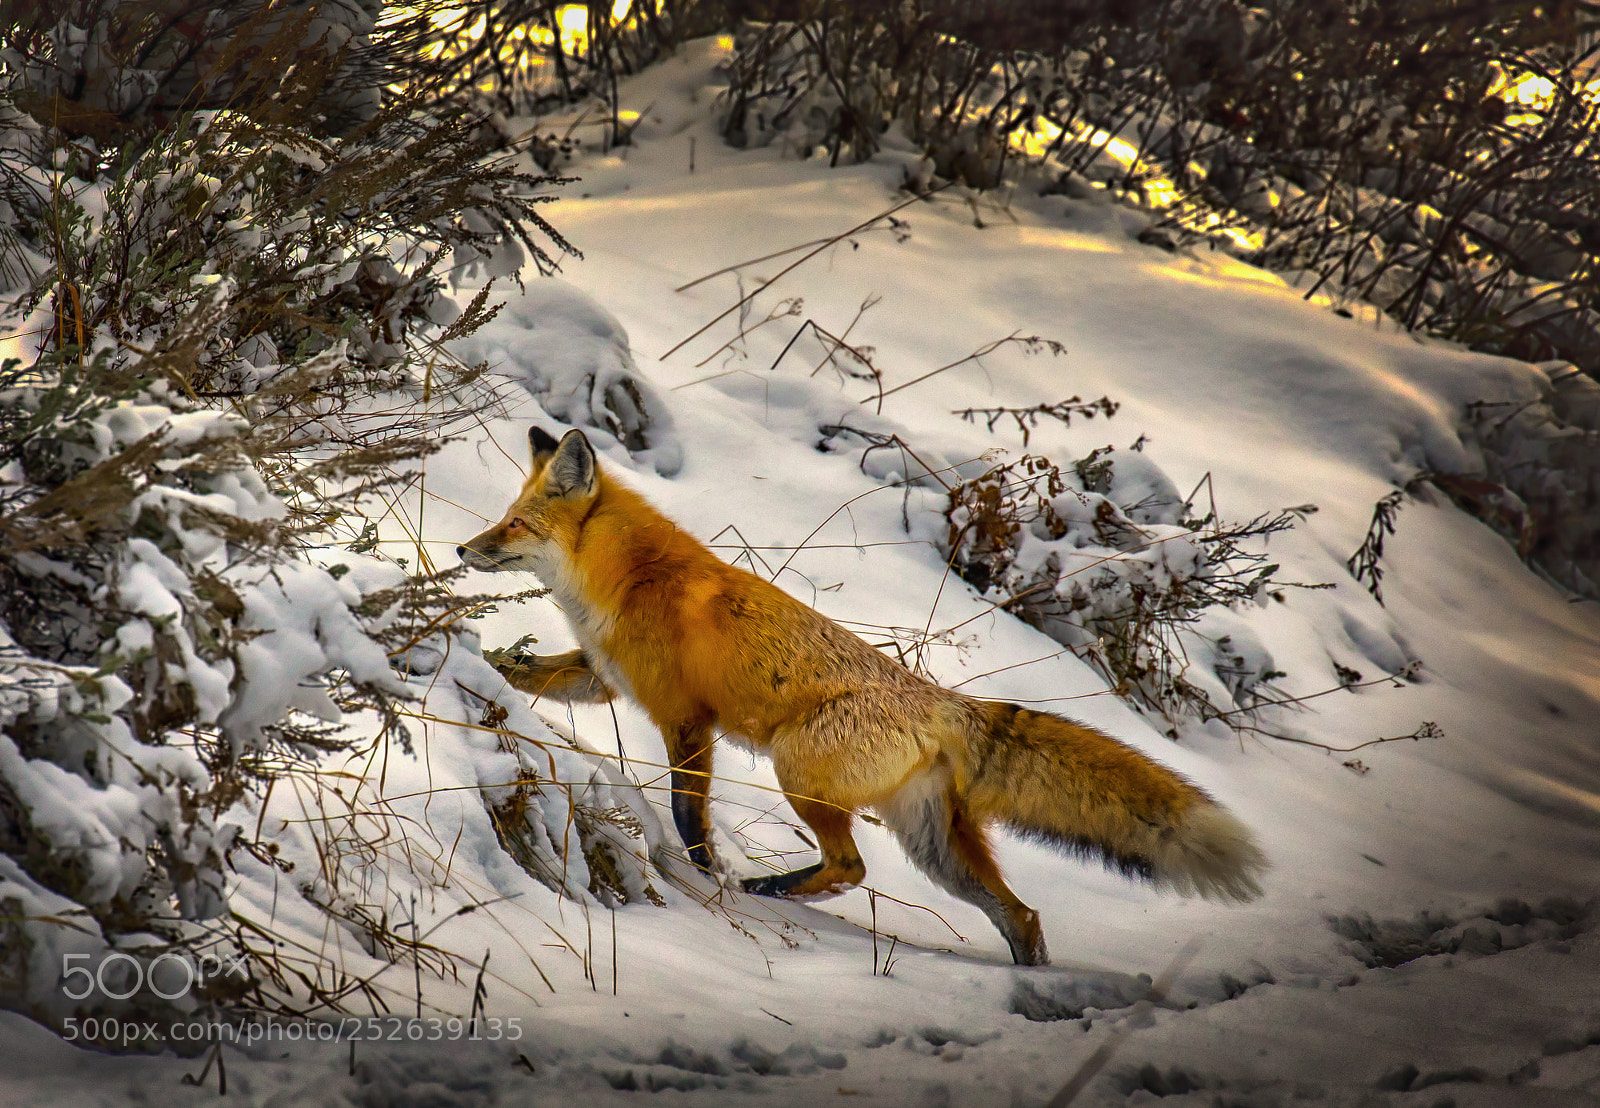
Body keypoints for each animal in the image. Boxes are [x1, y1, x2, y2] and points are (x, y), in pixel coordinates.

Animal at [457, 426, 1267, 965]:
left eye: (514, 524)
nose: (465, 549)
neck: (630, 579)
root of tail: (942, 702)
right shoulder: (600, 677)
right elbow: (526, 674)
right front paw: (478, 660)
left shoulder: (686, 722)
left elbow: (689, 815)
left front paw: (705, 872)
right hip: (935, 849)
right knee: (1023, 916)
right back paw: (1033, 985)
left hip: (799, 771)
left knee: (851, 868)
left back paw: (770, 889)